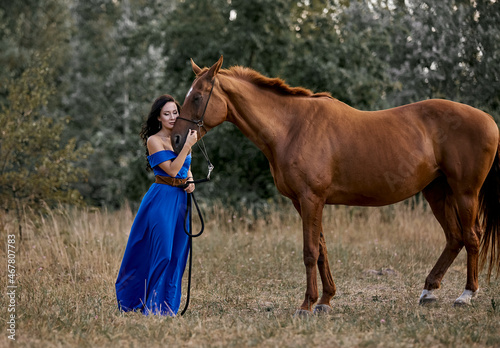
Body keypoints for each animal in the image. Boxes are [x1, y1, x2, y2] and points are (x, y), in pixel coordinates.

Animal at [172, 57, 500, 316]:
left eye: (198, 97)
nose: (176, 139)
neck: (291, 127)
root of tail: (487, 119)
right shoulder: (305, 202)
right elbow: (321, 250)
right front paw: (325, 301)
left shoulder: (310, 199)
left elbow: (309, 251)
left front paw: (306, 305)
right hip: (436, 192)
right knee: (454, 238)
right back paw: (429, 291)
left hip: (465, 193)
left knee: (471, 237)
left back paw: (466, 296)